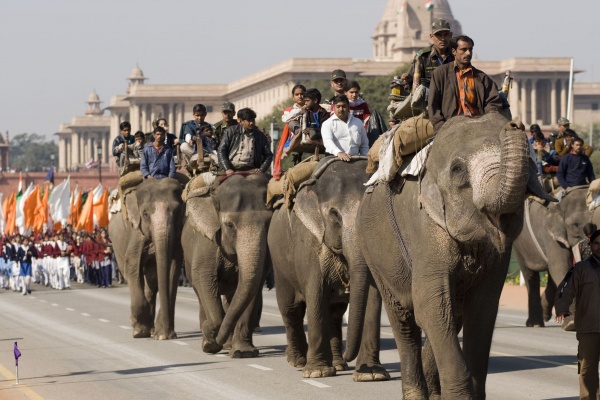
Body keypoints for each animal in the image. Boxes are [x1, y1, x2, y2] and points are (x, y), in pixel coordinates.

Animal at [108, 178, 186, 340]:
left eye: (177, 211)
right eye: (144, 214)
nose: (168, 335)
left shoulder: (177, 237)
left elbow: (173, 269)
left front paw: (162, 335)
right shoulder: (136, 232)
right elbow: (131, 264)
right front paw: (139, 331)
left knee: (152, 280)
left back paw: (151, 330)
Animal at [179, 173, 270, 358]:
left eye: (268, 223)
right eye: (229, 225)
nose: (216, 340)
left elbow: (254, 285)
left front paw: (243, 352)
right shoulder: (206, 241)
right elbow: (204, 278)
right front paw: (210, 344)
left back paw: (228, 345)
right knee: (200, 293)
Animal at [268, 156, 390, 382]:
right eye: (334, 214)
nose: (349, 355)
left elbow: (372, 297)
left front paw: (371, 375)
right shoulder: (310, 243)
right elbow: (316, 294)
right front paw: (317, 373)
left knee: (334, 313)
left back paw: (339, 365)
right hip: (278, 261)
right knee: (291, 309)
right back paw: (298, 361)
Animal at [344, 114, 556, 398]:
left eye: (532, 165)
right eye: (457, 170)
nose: (516, 124)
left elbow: (482, 309)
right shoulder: (425, 228)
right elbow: (431, 305)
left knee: (452, 316)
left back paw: (434, 392)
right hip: (374, 251)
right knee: (404, 320)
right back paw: (416, 393)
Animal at [510, 186, 592, 330]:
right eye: (575, 224)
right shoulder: (550, 235)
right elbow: (560, 267)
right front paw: (571, 324)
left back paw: (544, 317)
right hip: (519, 244)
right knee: (530, 275)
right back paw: (535, 323)